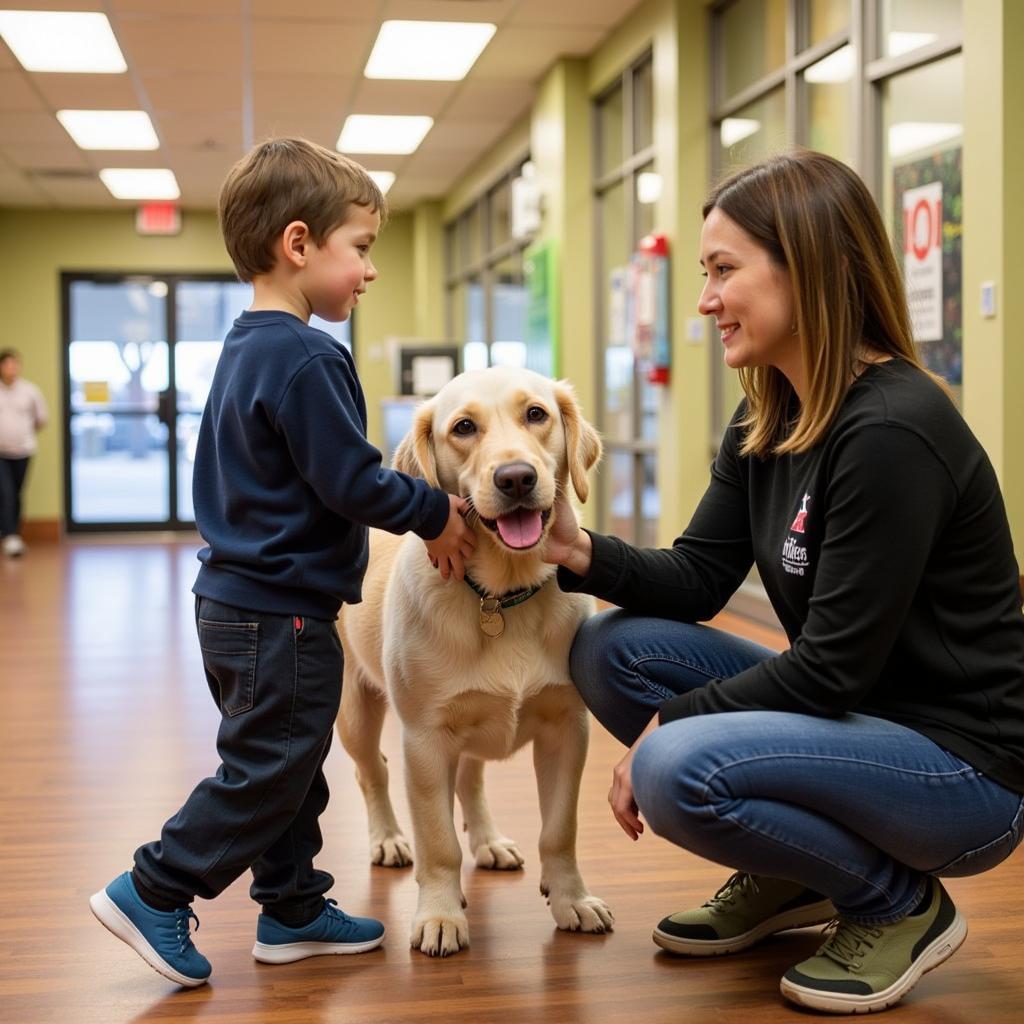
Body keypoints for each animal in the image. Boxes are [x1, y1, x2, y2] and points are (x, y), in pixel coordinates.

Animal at [335, 364, 610, 954]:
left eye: (536, 414)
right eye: (463, 427)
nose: (516, 478)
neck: (501, 594)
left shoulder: (567, 728)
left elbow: (560, 829)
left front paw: (572, 899)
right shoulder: (425, 739)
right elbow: (438, 841)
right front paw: (440, 914)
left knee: (471, 781)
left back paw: (488, 841)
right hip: (355, 712)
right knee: (373, 772)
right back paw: (388, 838)